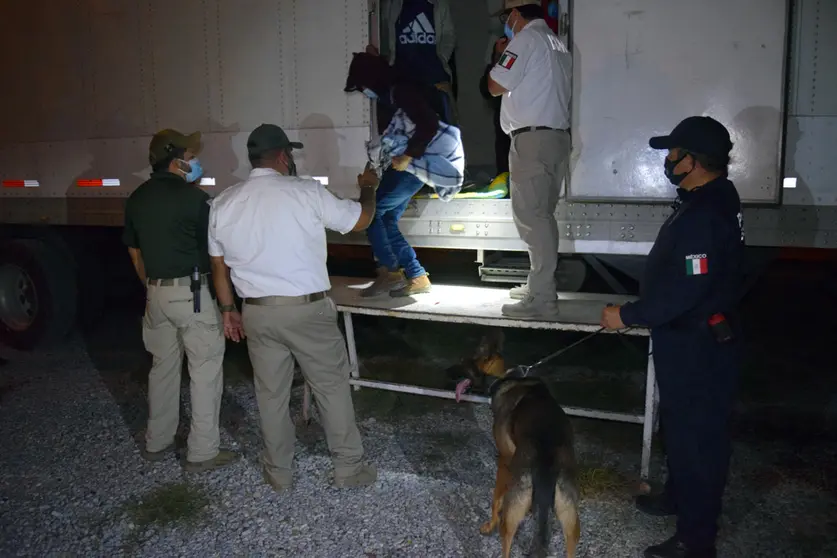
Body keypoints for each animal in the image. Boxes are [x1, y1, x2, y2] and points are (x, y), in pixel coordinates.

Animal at [454, 334, 580, 556]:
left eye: (463, 362)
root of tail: (548, 462)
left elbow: (496, 498)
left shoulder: (504, 460)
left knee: (506, 544)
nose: (448, 372)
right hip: (570, 518)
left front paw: (490, 523)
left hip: (512, 513)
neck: (505, 377)